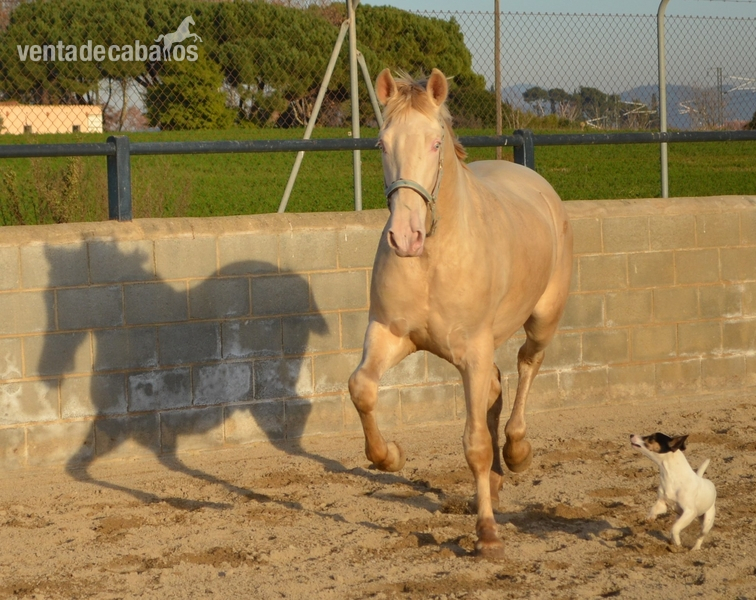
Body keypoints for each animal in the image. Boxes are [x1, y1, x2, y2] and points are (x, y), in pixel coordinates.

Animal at [348, 69, 573, 558]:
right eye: (381, 144)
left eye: (436, 143)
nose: (405, 237)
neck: (434, 258)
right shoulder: (391, 334)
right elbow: (362, 389)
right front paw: (390, 455)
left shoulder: (473, 350)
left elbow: (475, 444)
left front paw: (487, 535)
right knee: (496, 387)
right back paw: (495, 479)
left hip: (542, 319)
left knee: (527, 364)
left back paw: (517, 452)